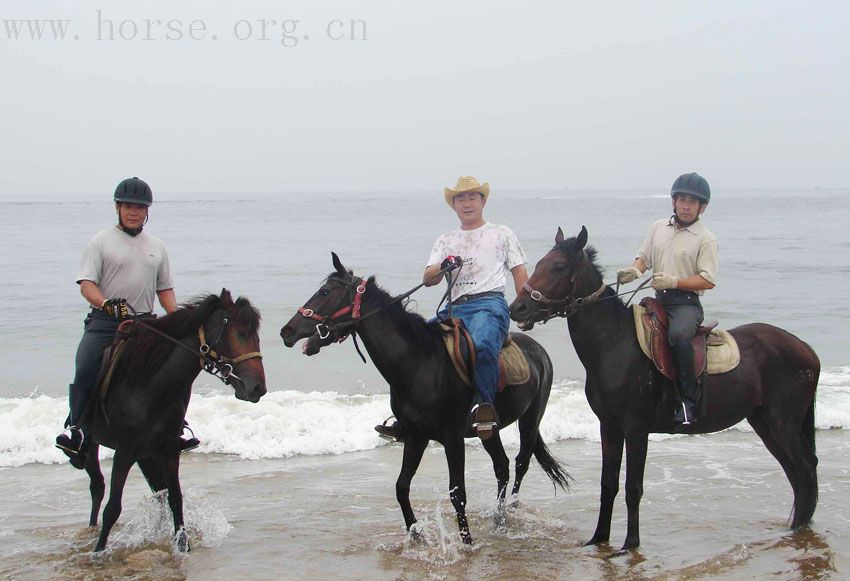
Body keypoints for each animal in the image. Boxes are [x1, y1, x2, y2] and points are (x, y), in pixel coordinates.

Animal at [80, 292, 264, 552]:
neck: (151, 388)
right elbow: (113, 508)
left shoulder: (168, 449)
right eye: (240, 333)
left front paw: (182, 547)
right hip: (93, 444)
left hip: (146, 455)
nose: (258, 388)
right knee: (97, 486)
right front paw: (99, 552)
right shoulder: (124, 452)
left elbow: (175, 499)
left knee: (156, 490)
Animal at [280, 253, 568, 544]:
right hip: (489, 429)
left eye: (325, 292)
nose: (287, 331)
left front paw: (467, 542)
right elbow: (401, 487)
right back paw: (499, 517)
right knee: (502, 466)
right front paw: (415, 535)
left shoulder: (453, 438)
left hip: (530, 419)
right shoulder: (415, 436)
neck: (420, 364)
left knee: (521, 462)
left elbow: (457, 493)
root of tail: (538, 350)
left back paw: (509, 510)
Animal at [506, 225, 820, 548]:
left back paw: (800, 530)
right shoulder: (609, 426)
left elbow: (633, 487)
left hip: (782, 422)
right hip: (763, 422)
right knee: (794, 472)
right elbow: (608, 484)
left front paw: (630, 543)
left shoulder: (636, 428)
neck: (615, 344)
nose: (518, 308)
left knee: (806, 468)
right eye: (540, 264)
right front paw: (599, 538)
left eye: (558, 267)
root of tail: (804, 347)